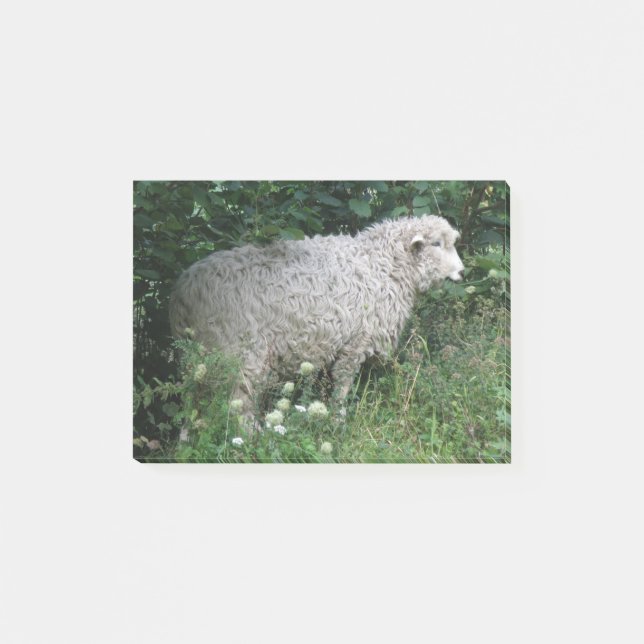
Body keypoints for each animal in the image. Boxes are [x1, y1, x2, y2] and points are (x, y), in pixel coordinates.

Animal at [169, 214, 464, 425]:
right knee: (239, 402)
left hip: (198, 356)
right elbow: (342, 384)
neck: (383, 265)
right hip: (240, 351)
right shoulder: (356, 341)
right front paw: (338, 419)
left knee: (191, 400)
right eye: (436, 244)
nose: (462, 272)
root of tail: (183, 291)